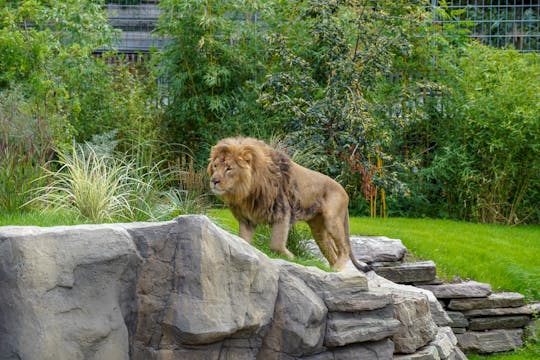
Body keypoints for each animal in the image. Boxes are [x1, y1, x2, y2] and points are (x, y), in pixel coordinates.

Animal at [207, 136, 372, 272]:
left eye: (229, 168)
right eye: (215, 166)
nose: (214, 181)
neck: (247, 192)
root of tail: (344, 191)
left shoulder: (282, 212)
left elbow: (276, 244)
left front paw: (292, 257)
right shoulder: (246, 220)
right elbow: (244, 241)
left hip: (332, 220)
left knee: (343, 248)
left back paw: (337, 269)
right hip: (318, 228)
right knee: (331, 251)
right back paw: (331, 271)